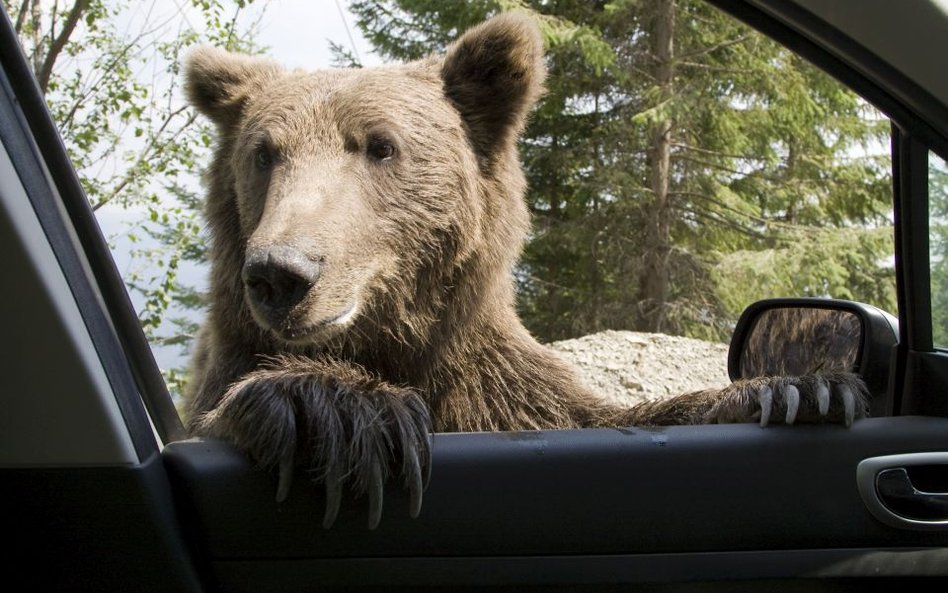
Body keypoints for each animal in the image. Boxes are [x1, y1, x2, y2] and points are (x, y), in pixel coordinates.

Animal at [181, 11, 872, 528]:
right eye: (264, 153)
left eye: (380, 145)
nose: (282, 272)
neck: (391, 341)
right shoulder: (231, 365)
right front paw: (339, 407)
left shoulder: (496, 388)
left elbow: (600, 416)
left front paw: (795, 388)